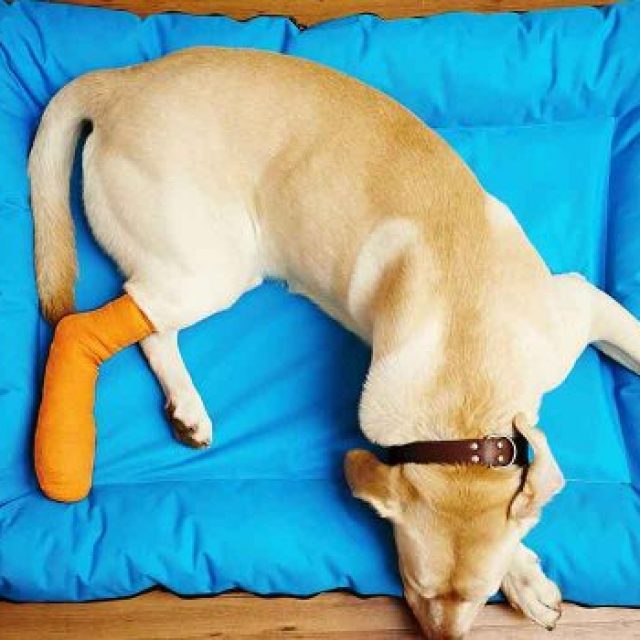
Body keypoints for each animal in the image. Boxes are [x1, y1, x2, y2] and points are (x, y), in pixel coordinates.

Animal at [28, 47, 640, 639]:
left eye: (479, 594)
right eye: (415, 584)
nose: (443, 637)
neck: (465, 392)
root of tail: (122, 81)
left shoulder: (582, 309)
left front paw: (522, 568)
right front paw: (525, 572)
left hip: (202, 269)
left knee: (152, 327)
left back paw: (187, 409)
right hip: (212, 263)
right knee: (107, 321)